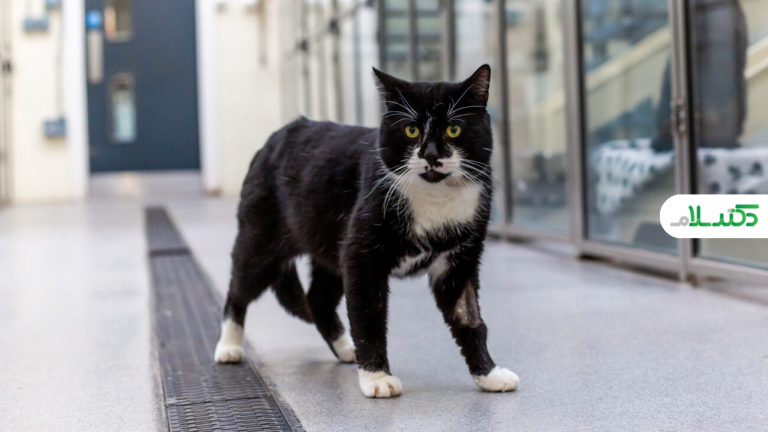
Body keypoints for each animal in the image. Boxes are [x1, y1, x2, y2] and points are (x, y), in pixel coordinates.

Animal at [214, 64, 519, 398]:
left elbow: (469, 318)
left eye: (453, 129)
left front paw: (488, 373)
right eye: (411, 130)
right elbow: (368, 314)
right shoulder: (361, 256)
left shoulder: (460, 261)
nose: (431, 155)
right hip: (261, 239)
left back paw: (347, 349)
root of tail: (275, 137)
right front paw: (376, 377)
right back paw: (228, 346)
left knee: (318, 299)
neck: (436, 198)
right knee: (239, 287)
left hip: (329, 248)